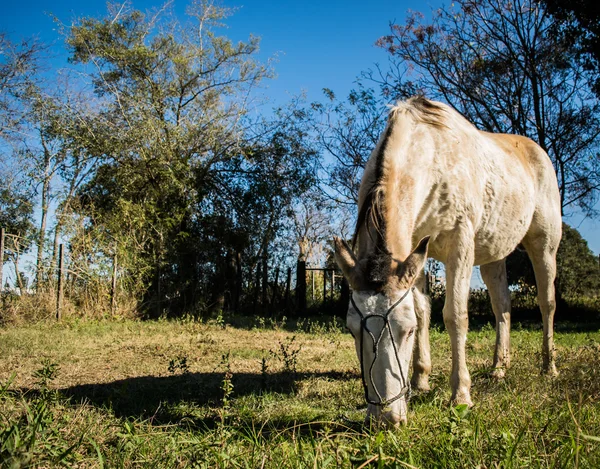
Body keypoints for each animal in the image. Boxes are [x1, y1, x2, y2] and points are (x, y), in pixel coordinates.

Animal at [336, 97, 560, 426]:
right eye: (352, 330)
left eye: (407, 332)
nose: (385, 418)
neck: (430, 156)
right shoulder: (414, 253)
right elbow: (423, 311)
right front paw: (421, 380)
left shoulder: (460, 243)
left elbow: (455, 315)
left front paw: (461, 395)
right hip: (493, 255)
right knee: (502, 307)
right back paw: (499, 368)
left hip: (544, 245)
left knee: (547, 303)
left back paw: (549, 367)